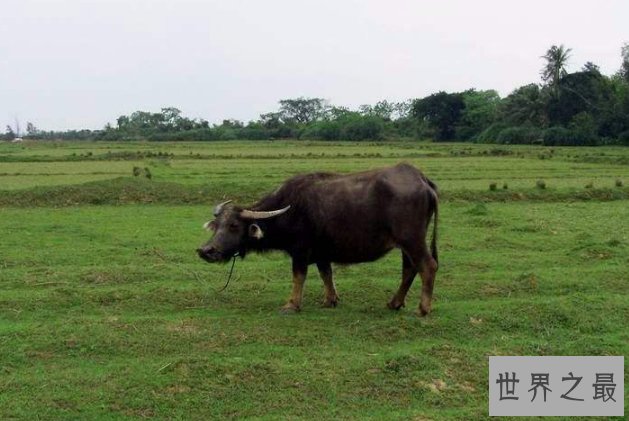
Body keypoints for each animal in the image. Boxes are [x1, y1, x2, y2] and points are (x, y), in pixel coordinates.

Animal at [196, 162, 436, 314]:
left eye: (234, 225)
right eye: (217, 226)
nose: (206, 251)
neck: (291, 209)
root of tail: (421, 180)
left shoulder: (300, 252)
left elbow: (298, 277)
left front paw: (291, 305)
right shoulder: (322, 253)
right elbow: (326, 274)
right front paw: (330, 300)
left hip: (412, 240)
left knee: (427, 266)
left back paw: (422, 309)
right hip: (406, 244)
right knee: (409, 269)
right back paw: (394, 303)